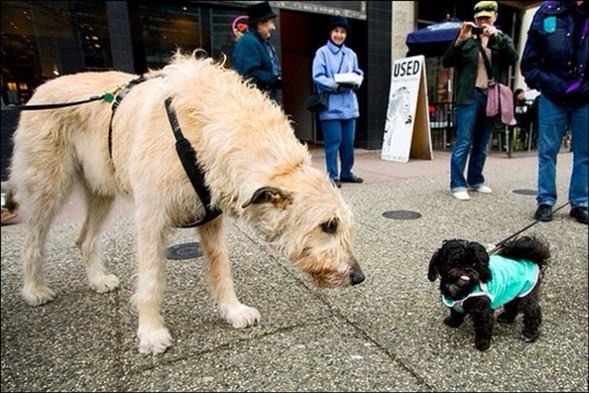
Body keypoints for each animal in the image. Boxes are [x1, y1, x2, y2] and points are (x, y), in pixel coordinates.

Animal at [10, 51, 362, 352]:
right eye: (328, 225)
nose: (359, 277)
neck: (201, 127)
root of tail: (41, 87)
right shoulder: (151, 218)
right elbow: (151, 280)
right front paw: (151, 332)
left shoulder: (211, 219)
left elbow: (221, 267)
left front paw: (232, 311)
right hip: (46, 186)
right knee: (32, 239)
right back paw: (34, 290)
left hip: (100, 190)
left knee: (84, 238)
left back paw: (97, 280)